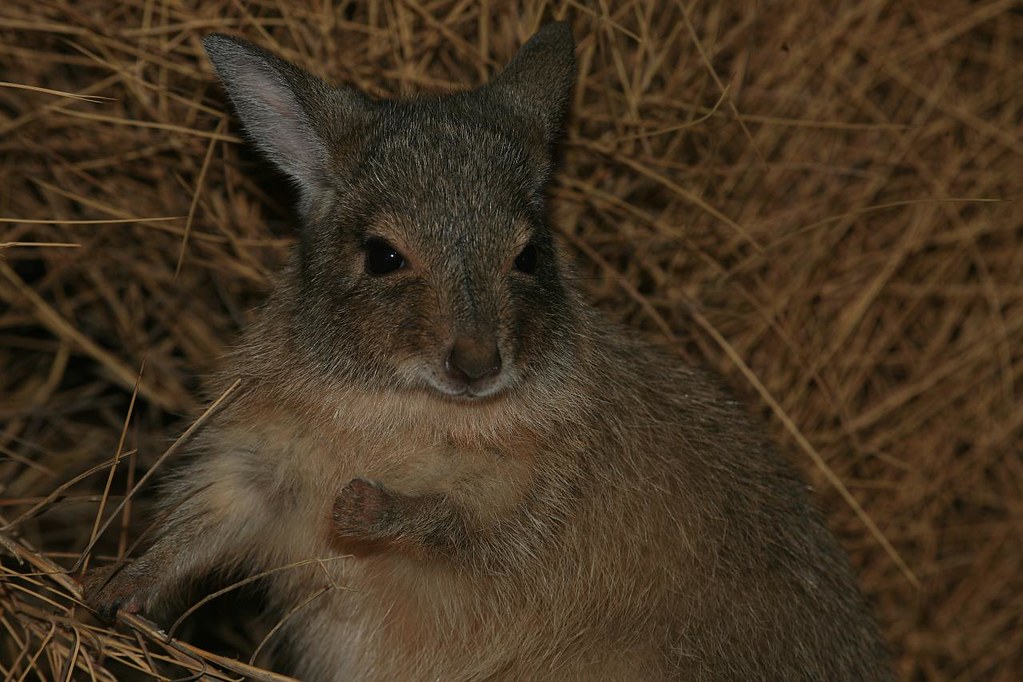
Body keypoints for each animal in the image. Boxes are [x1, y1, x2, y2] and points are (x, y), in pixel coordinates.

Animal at [84, 23, 893, 681]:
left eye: (529, 256)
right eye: (382, 256)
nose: (477, 366)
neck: (394, 403)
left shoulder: (534, 496)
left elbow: (462, 529)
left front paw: (362, 505)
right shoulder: (260, 458)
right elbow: (203, 522)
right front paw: (114, 590)